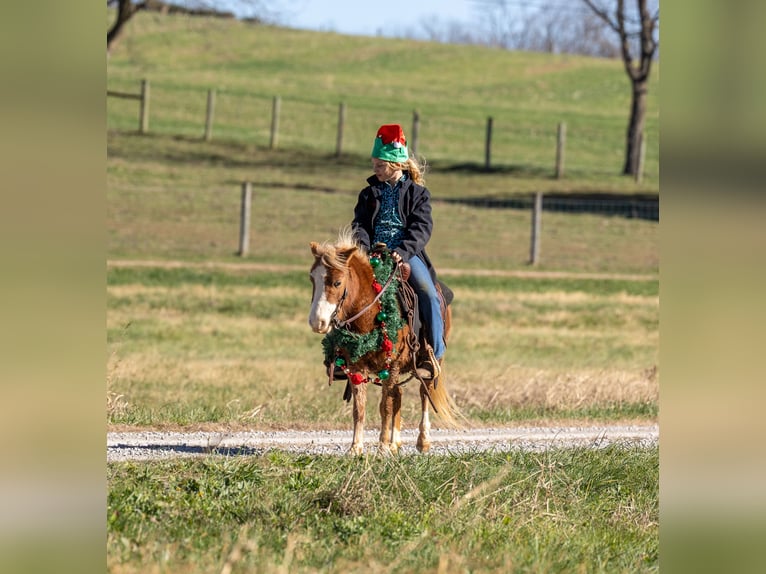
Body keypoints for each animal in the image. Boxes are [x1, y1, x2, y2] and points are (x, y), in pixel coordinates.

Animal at [308, 228, 461, 455]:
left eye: (337, 282)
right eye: (312, 280)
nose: (317, 322)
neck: (370, 314)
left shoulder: (393, 363)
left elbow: (385, 406)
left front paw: (382, 448)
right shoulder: (356, 367)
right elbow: (360, 408)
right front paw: (356, 448)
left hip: (429, 363)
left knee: (424, 392)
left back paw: (422, 440)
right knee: (398, 393)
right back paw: (395, 442)